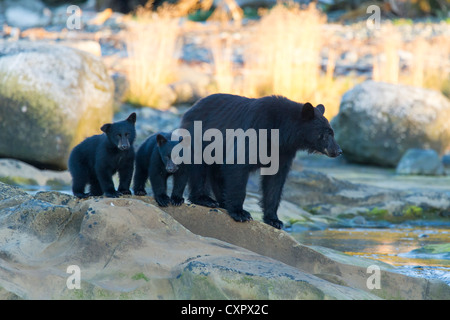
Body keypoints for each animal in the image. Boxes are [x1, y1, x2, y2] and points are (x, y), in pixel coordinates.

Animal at [179, 94, 342, 229]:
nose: (339, 151)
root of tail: (189, 110)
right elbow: (238, 164)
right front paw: (240, 213)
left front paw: (274, 220)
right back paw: (204, 199)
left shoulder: (282, 151)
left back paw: (221, 202)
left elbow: (275, 181)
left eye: (332, 132)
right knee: (199, 167)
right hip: (200, 136)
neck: (280, 132)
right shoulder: (255, 131)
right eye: (327, 134)